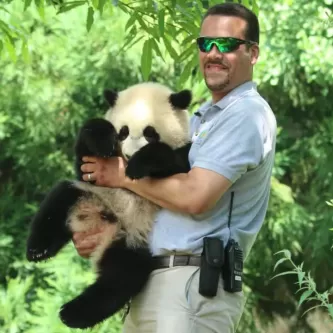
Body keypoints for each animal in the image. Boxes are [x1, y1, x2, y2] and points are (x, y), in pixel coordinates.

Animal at [26, 81, 192, 328]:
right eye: (123, 131)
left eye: (150, 133)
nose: (130, 154)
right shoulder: (92, 174)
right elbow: (85, 159)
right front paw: (102, 139)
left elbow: (178, 166)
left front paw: (139, 164)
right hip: (86, 195)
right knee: (57, 201)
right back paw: (38, 250)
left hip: (132, 238)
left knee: (121, 276)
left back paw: (72, 313)